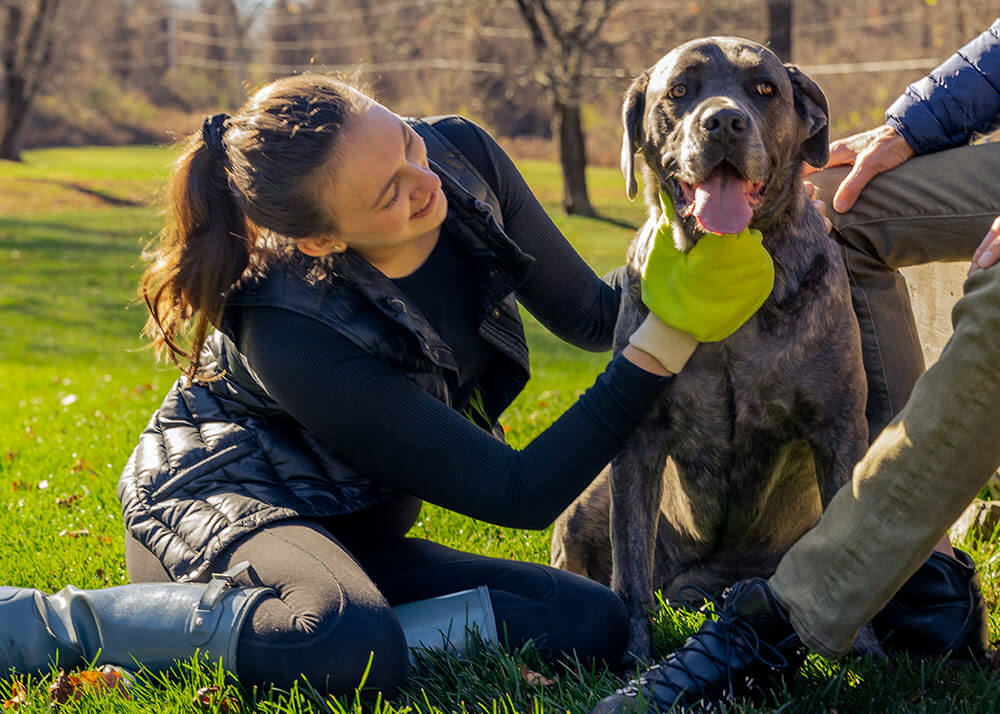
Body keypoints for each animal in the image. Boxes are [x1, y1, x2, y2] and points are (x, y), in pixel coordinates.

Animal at [552, 37, 872, 656]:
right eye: (679, 91)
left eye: (765, 89)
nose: (723, 121)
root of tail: (698, 588)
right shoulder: (637, 443)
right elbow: (629, 571)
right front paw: (634, 654)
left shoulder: (838, 428)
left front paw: (867, 650)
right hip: (584, 504)